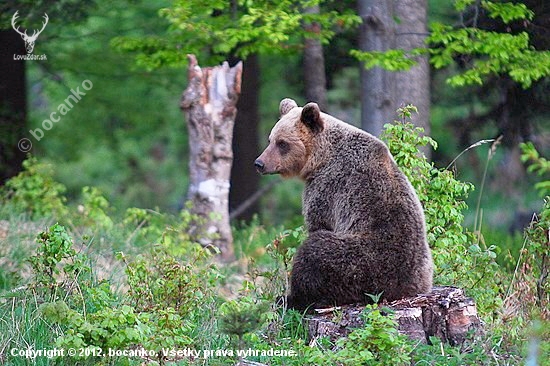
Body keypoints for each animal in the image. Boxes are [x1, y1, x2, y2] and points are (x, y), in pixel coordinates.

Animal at [256, 97, 434, 308]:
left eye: (282, 143)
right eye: (270, 140)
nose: (259, 163)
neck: (320, 158)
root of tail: (402, 290)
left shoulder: (328, 186)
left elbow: (318, 223)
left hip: (364, 262)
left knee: (316, 251)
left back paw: (291, 298)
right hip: (422, 267)